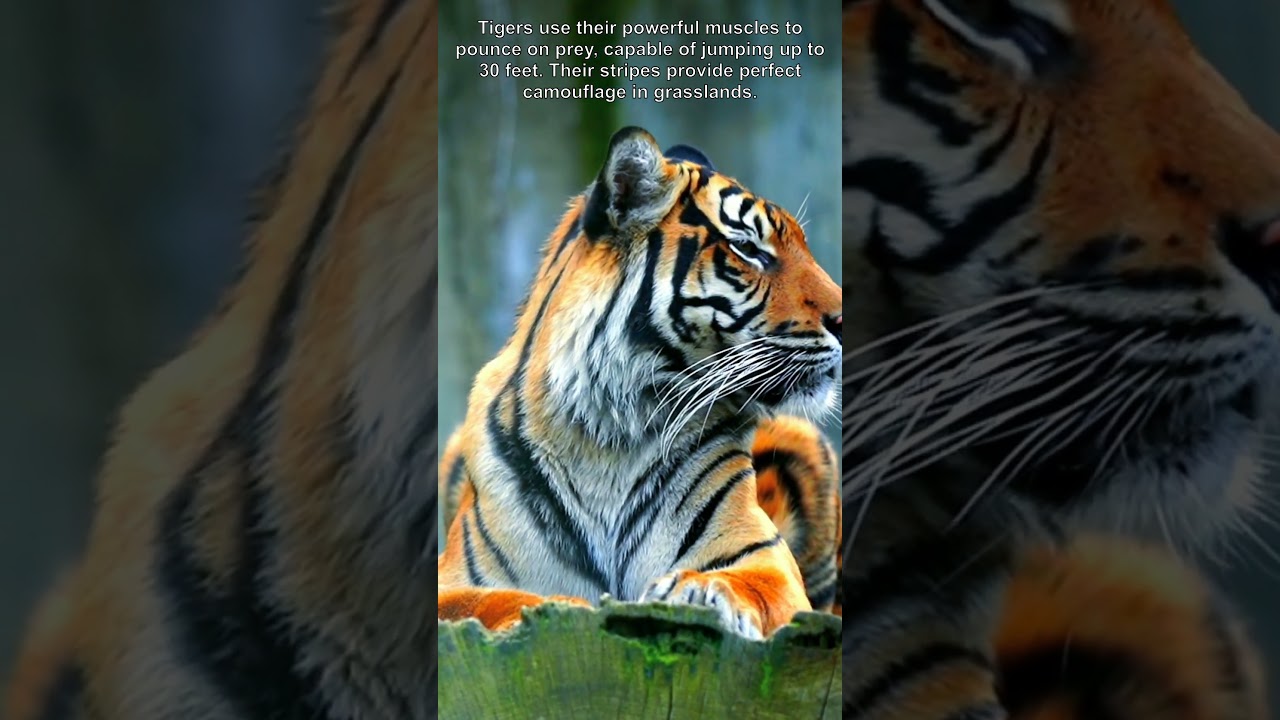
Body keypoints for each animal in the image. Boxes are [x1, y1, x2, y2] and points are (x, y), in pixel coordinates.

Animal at [435, 126, 844, 640]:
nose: (844, 319)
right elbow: (484, 601)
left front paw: (698, 589)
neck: (609, 435)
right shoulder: (450, 580)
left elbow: (752, 582)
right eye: (749, 248)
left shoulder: (766, 560)